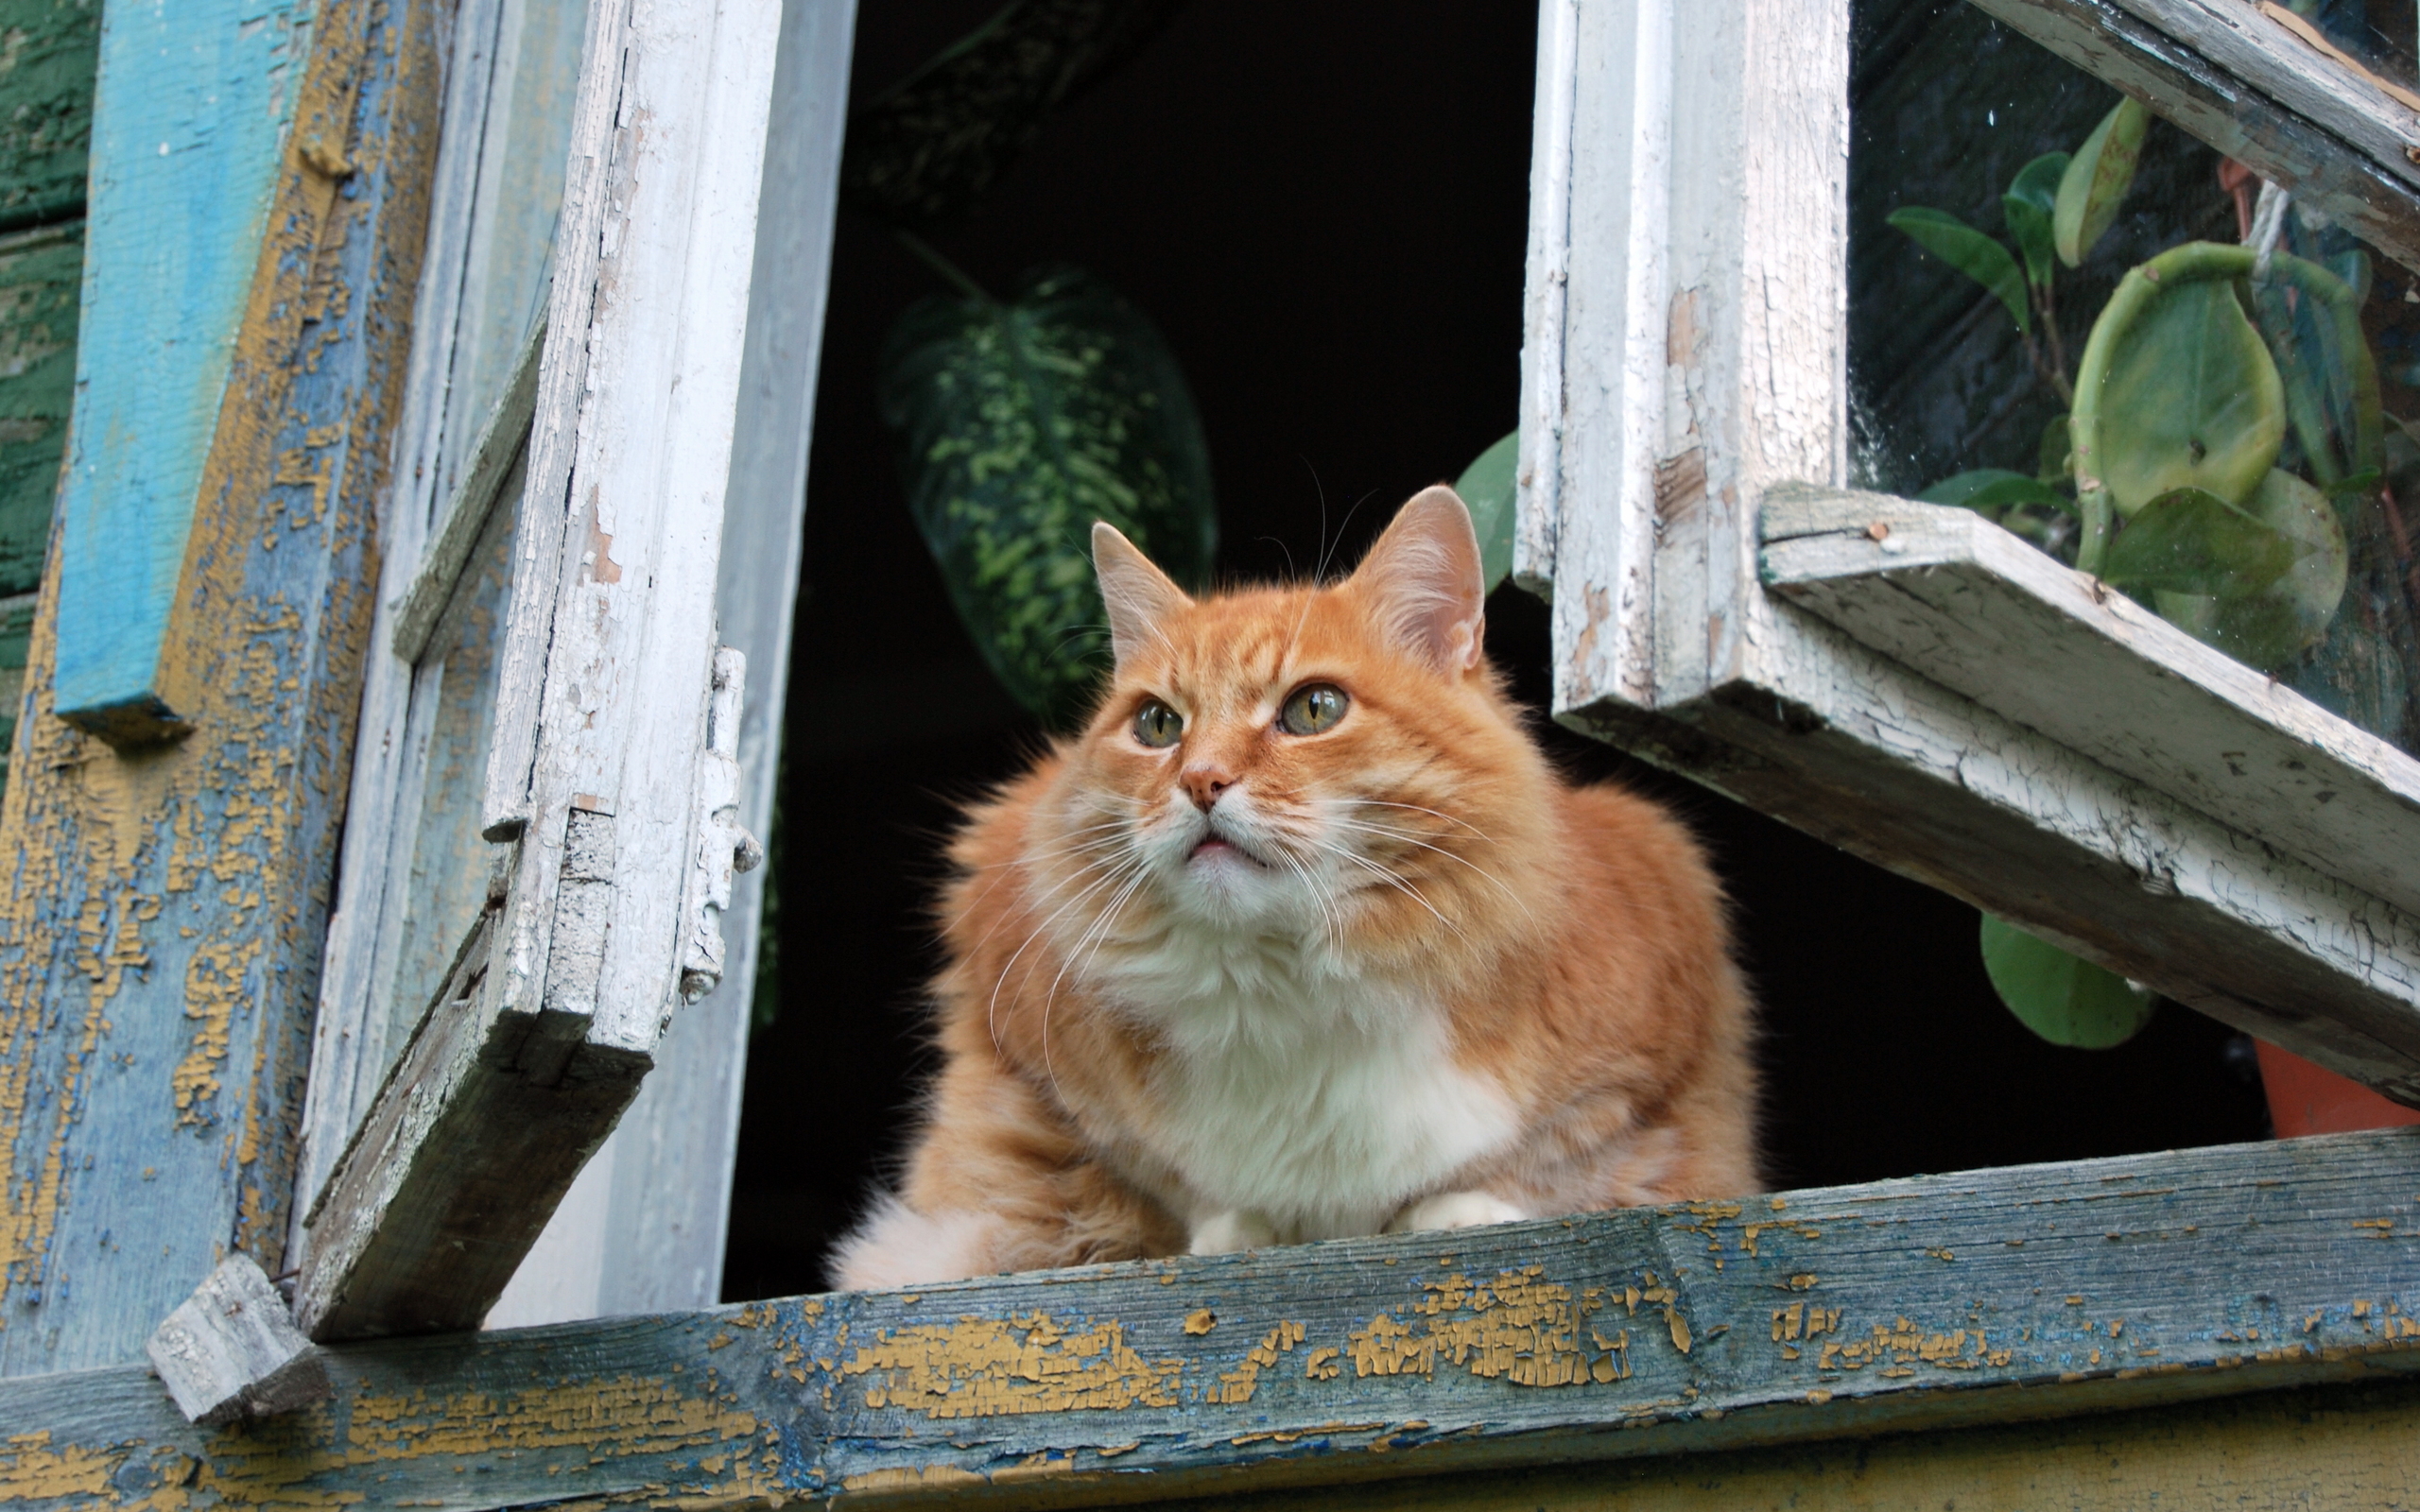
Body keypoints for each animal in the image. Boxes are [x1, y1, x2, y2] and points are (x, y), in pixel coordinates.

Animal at [832, 486, 1761, 1286]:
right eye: (1158, 725)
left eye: (1314, 709)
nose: (1200, 781)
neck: (1284, 980)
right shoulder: (1027, 1054)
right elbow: (1150, 1190)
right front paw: (1240, 1226)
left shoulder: (1663, 1041)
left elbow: (1566, 1162)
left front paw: (1460, 1211)